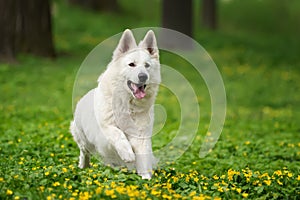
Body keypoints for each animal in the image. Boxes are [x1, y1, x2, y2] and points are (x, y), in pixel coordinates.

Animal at [70, 29, 161, 180]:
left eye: (147, 65)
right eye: (131, 64)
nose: (143, 76)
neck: (129, 105)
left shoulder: (141, 135)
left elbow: (143, 157)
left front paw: (146, 178)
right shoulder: (106, 126)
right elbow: (118, 134)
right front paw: (127, 153)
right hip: (83, 138)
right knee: (84, 151)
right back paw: (83, 165)